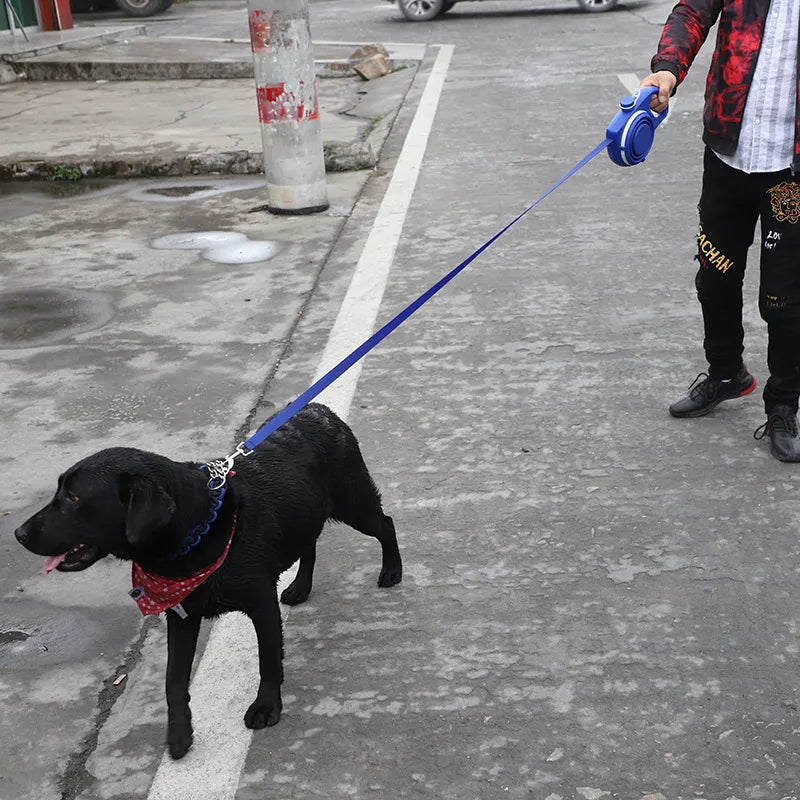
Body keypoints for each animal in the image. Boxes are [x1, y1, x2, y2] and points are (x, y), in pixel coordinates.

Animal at [17, 404, 406, 760]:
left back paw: (392, 570)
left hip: (355, 504)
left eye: (74, 497)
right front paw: (179, 733)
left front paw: (266, 706)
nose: (19, 533)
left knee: (385, 523)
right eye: (59, 492)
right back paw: (300, 587)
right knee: (309, 544)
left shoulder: (261, 604)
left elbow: (269, 660)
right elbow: (173, 680)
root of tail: (320, 409)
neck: (200, 529)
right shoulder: (181, 615)